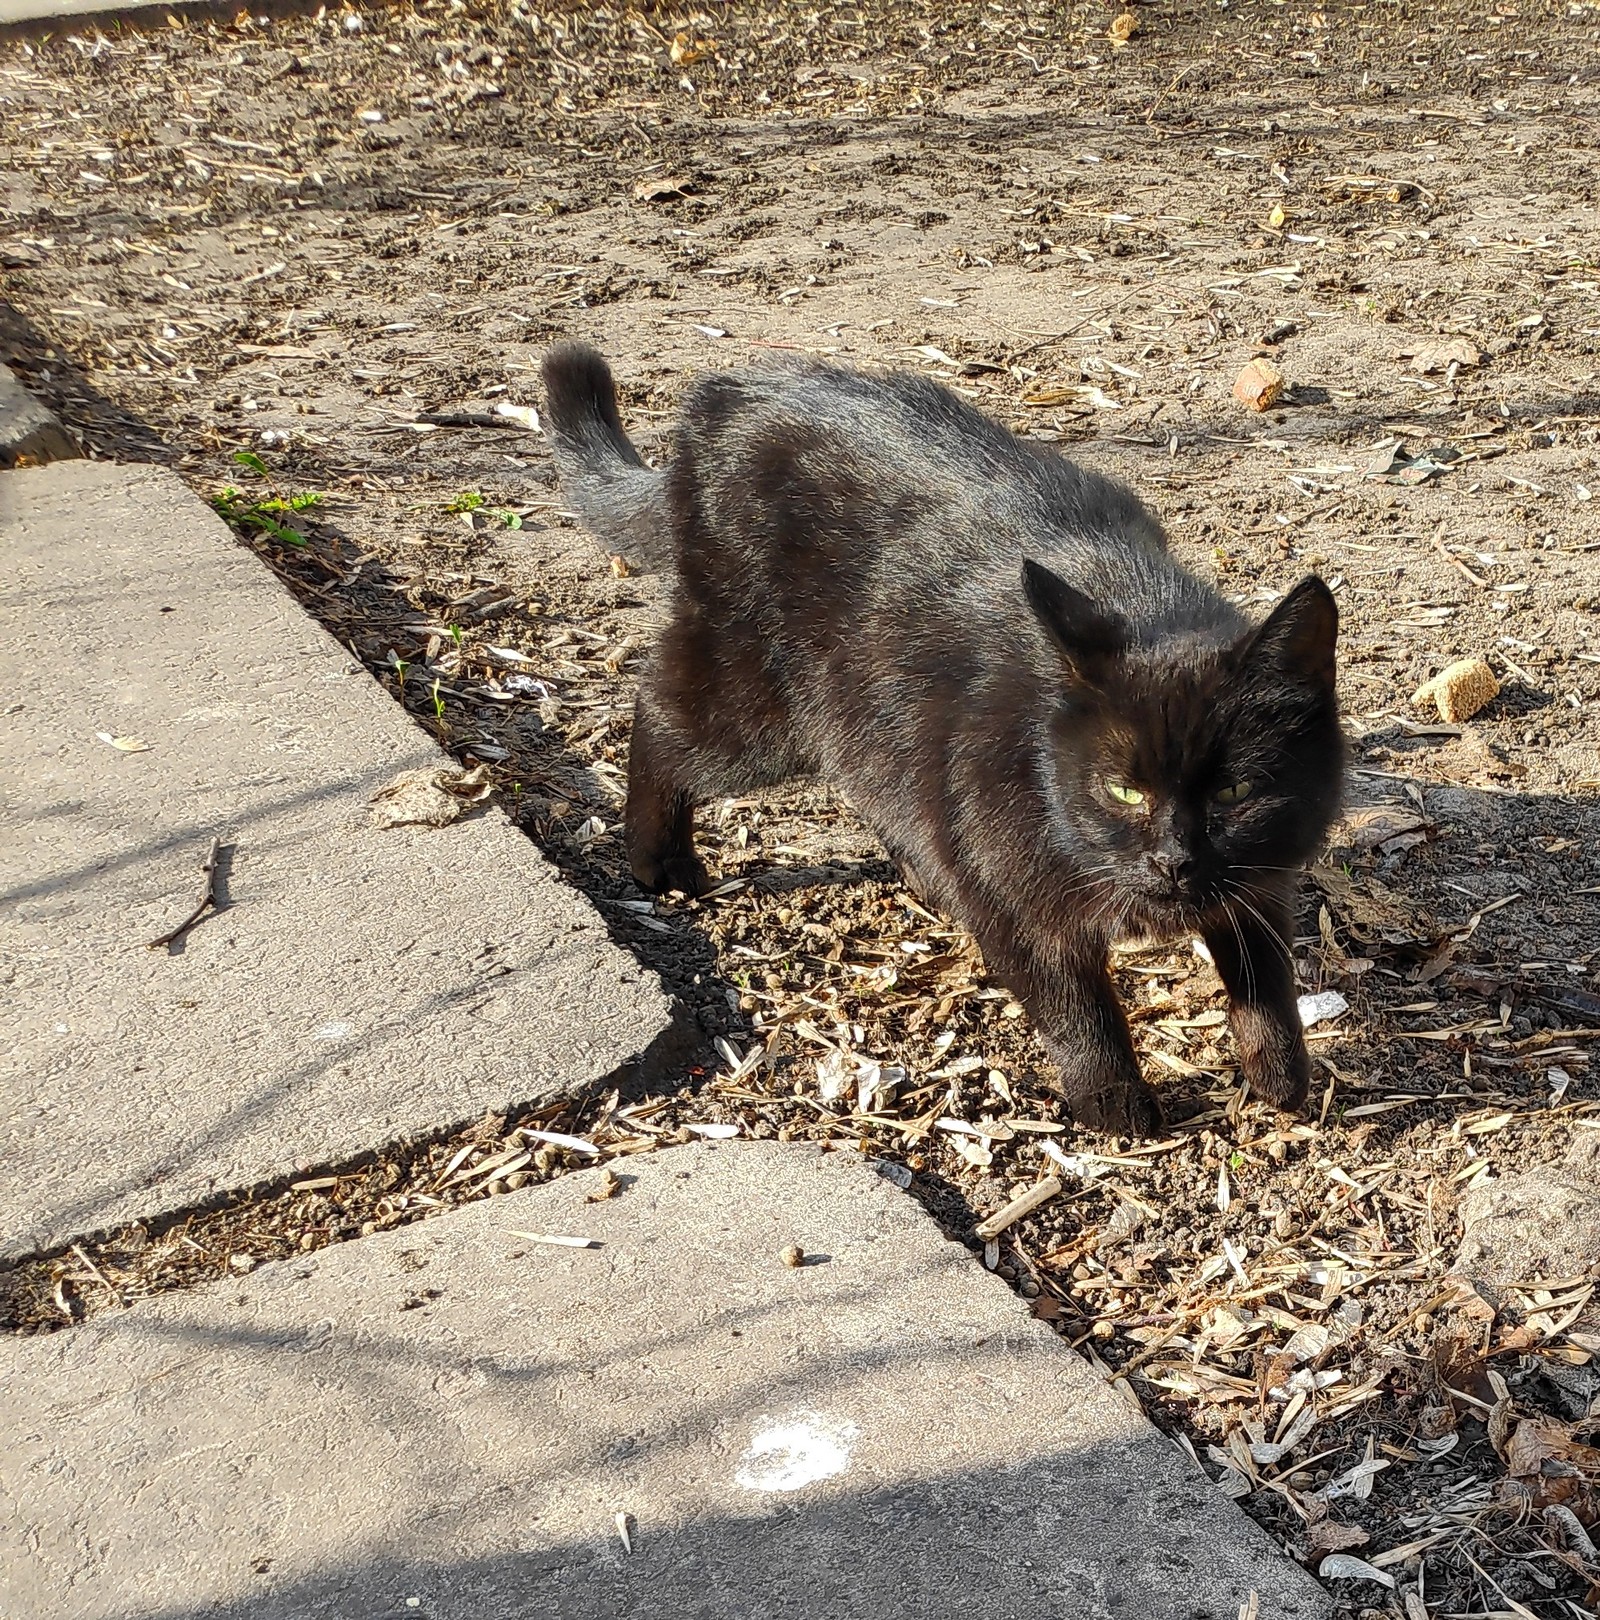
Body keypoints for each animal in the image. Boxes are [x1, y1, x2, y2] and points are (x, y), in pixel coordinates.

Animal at [544, 345, 1340, 1140]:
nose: (1172, 860)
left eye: (1234, 791)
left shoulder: (1260, 871)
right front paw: (1117, 1107)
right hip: (755, 706)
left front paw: (1279, 1073)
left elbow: (1266, 975)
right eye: (1122, 789)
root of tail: (728, 394)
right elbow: (1078, 1011)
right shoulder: (1015, 890)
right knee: (659, 716)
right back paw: (660, 861)